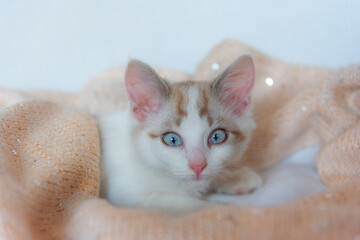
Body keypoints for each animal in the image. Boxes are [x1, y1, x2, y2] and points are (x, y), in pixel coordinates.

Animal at [98, 54, 262, 214]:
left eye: (217, 137)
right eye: (172, 139)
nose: (197, 166)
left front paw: (234, 177)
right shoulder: (127, 194)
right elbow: (190, 206)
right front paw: (228, 210)